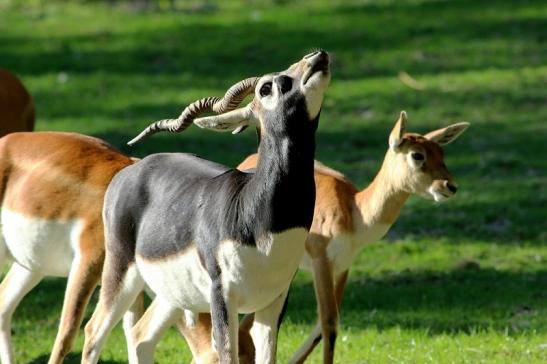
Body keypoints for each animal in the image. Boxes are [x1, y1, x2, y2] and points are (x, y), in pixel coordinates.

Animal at [83, 50, 332, 364]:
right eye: (266, 87)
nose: (316, 56)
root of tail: (131, 168)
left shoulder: (274, 301)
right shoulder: (222, 295)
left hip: (172, 294)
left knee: (141, 337)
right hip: (121, 272)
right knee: (93, 332)